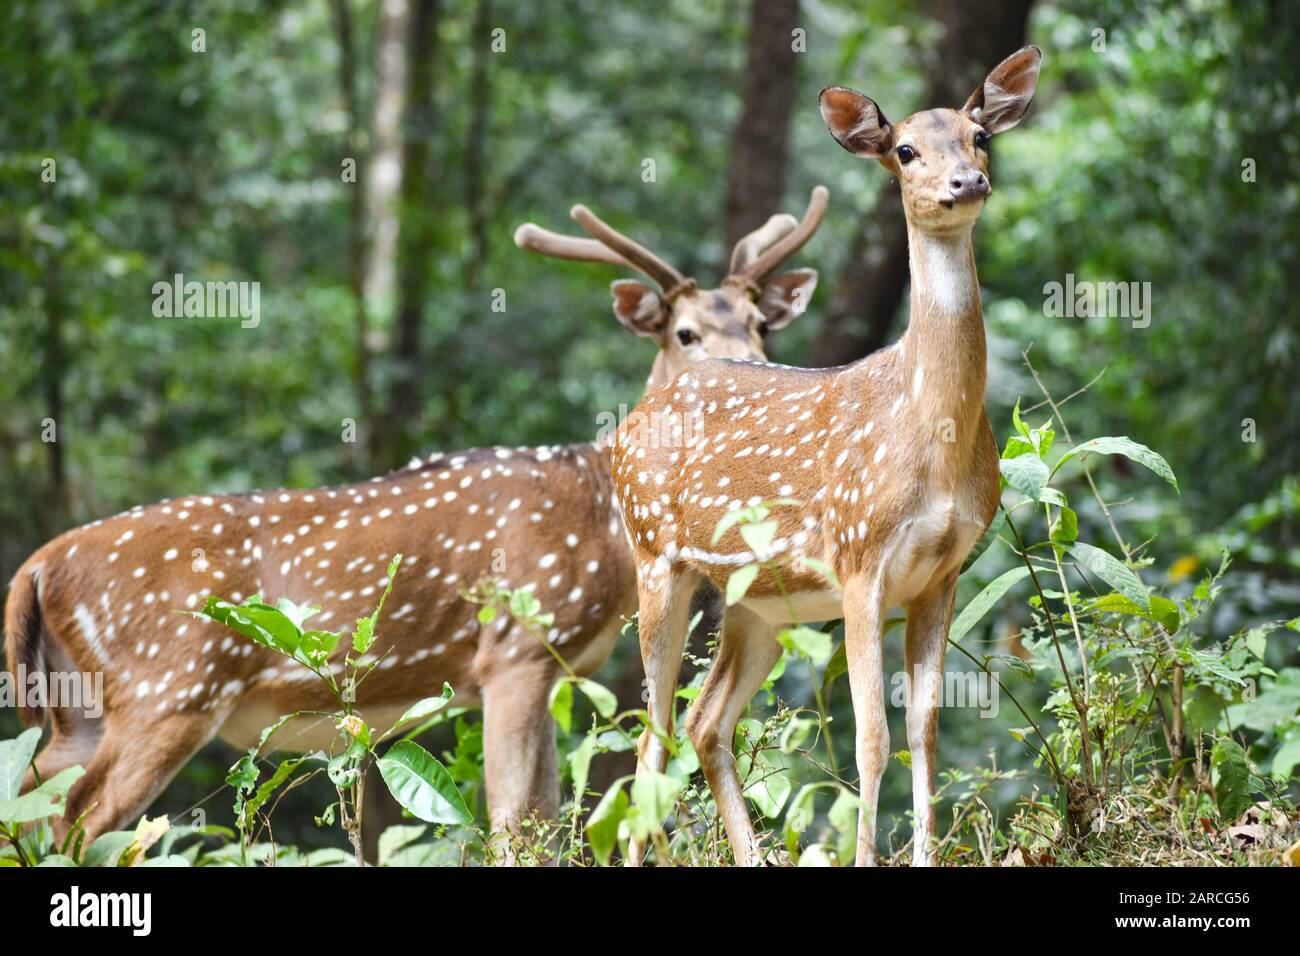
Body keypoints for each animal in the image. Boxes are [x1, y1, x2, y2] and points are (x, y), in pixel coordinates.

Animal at [5, 188, 826, 842]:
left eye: (761, 324)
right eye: (684, 332)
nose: (755, 372)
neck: (600, 516)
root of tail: (36, 568)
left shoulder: (551, 669)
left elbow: (540, 816)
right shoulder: (513, 646)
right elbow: (512, 822)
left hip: (78, 708)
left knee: (34, 799)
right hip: (166, 687)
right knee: (75, 819)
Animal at [608, 46, 1045, 868]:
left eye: (979, 136)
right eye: (904, 150)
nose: (965, 183)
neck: (932, 439)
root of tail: (625, 424)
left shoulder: (942, 571)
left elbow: (923, 731)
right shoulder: (858, 553)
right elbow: (873, 736)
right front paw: (867, 855)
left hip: (758, 602)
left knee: (703, 722)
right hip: (656, 557)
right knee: (650, 735)